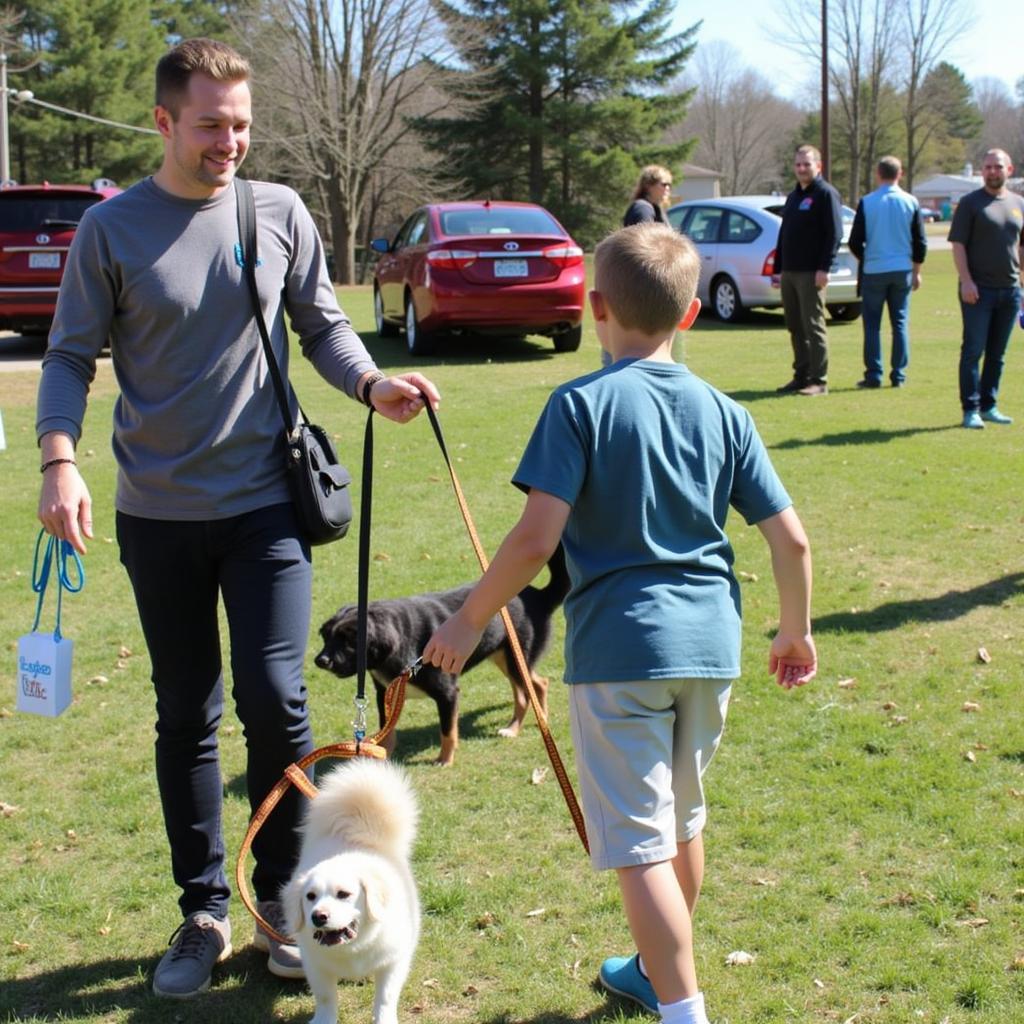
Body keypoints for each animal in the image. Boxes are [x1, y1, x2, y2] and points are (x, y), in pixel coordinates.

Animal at [280, 757, 419, 1024]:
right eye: (310, 897)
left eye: (344, 894)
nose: (318, 916)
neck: (351, 948)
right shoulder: (315, 965)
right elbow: (325, 997)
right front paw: (323, 1020)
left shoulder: (394, 961)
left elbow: (385, 997)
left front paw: (385, 1019)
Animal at [313, 548, 569, 765]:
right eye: (325, 635)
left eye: (349, 641)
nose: (321, 661)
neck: (405, 644)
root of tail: (539, 596)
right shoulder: (384, 693)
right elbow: (387, 731)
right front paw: (380, 759)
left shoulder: (447, 694)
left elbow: (447, 731)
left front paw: (444, 760)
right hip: (505, 658)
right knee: (531, 690)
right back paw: (521, 725)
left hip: (516, 661)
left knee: (535, 687)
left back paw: (526, 723)